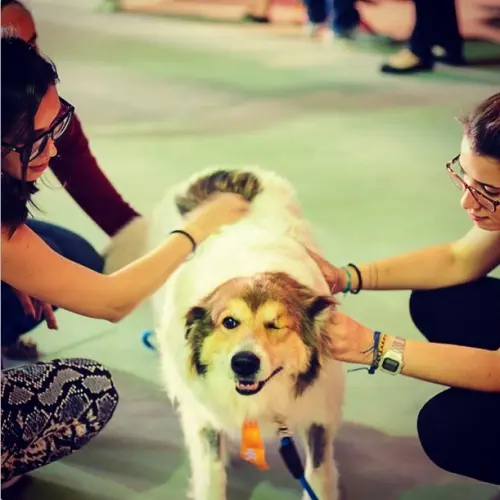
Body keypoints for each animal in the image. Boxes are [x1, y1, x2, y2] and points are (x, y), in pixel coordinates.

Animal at [105, 168, 344, 500]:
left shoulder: (318, 412)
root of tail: (219, 173)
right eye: (229, 322)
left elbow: (318, 475)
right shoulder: (203, 415)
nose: (243, 363)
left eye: (276, 325)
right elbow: (210, 472)